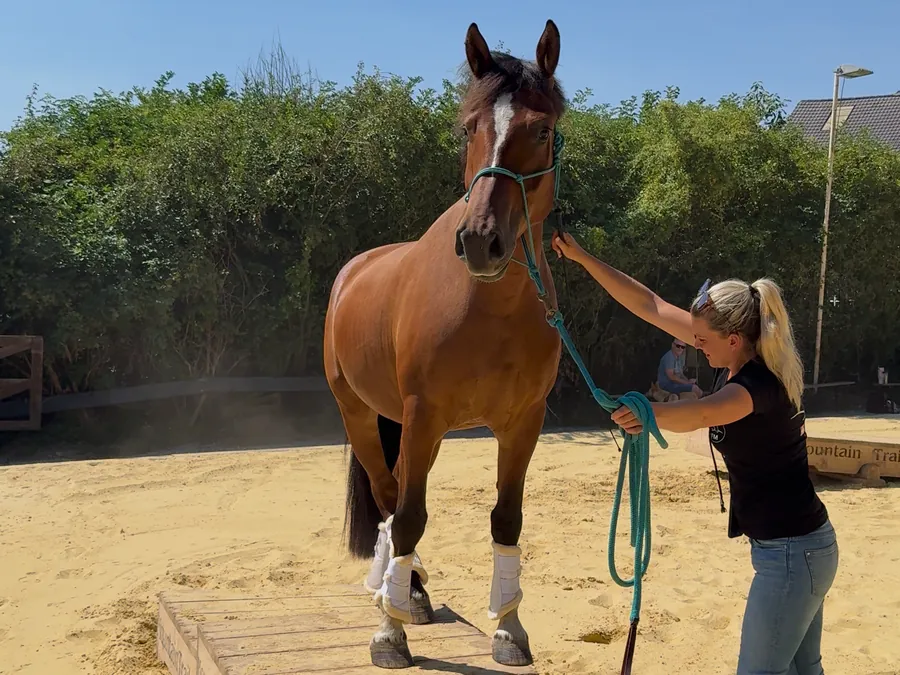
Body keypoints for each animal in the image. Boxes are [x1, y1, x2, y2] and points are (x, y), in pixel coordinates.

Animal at [323, 19, 566, 669]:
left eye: (542, 130)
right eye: (467, 128)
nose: (481, 240)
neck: (488, 307)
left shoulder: (523, 422)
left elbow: (507, 519)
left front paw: (510, 630)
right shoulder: (424, 414)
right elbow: (409, 518)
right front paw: (389, 633)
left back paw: (410, 591)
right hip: (360, 412)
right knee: (389, 497)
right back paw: (399, 593)